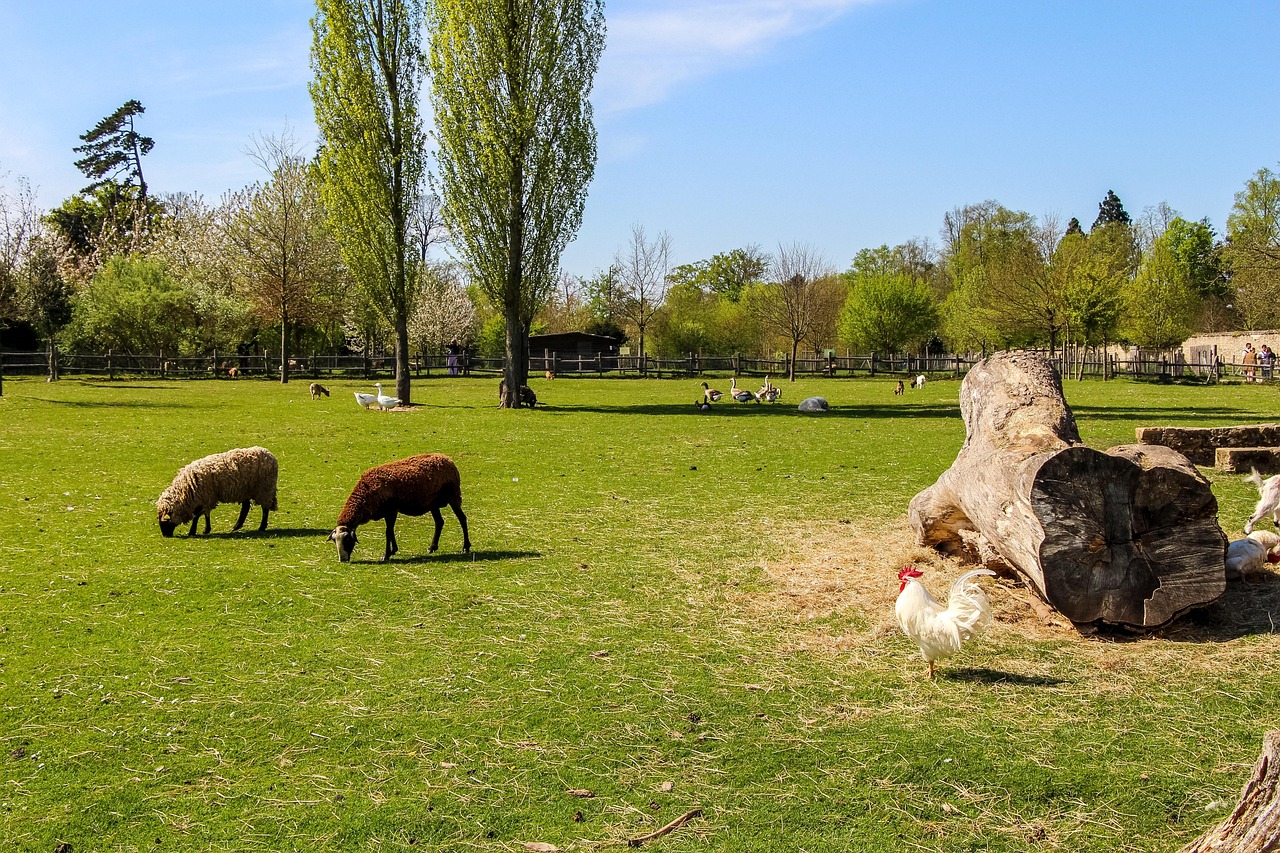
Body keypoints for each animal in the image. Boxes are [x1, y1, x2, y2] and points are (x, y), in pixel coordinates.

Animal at [327, 448, 473, 560]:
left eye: (347, 540)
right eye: (334, 540)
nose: (343, 560)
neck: (366, 494)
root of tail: (447, 459)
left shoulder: (391, 510)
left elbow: (388, 532)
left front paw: (386, 555)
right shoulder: (388, 512)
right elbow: (390, 531)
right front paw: (393, 551)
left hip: (453, 495)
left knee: (462, 518)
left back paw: (465, 547)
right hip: (433, 502)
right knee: (439, 522)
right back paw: (432, 547)